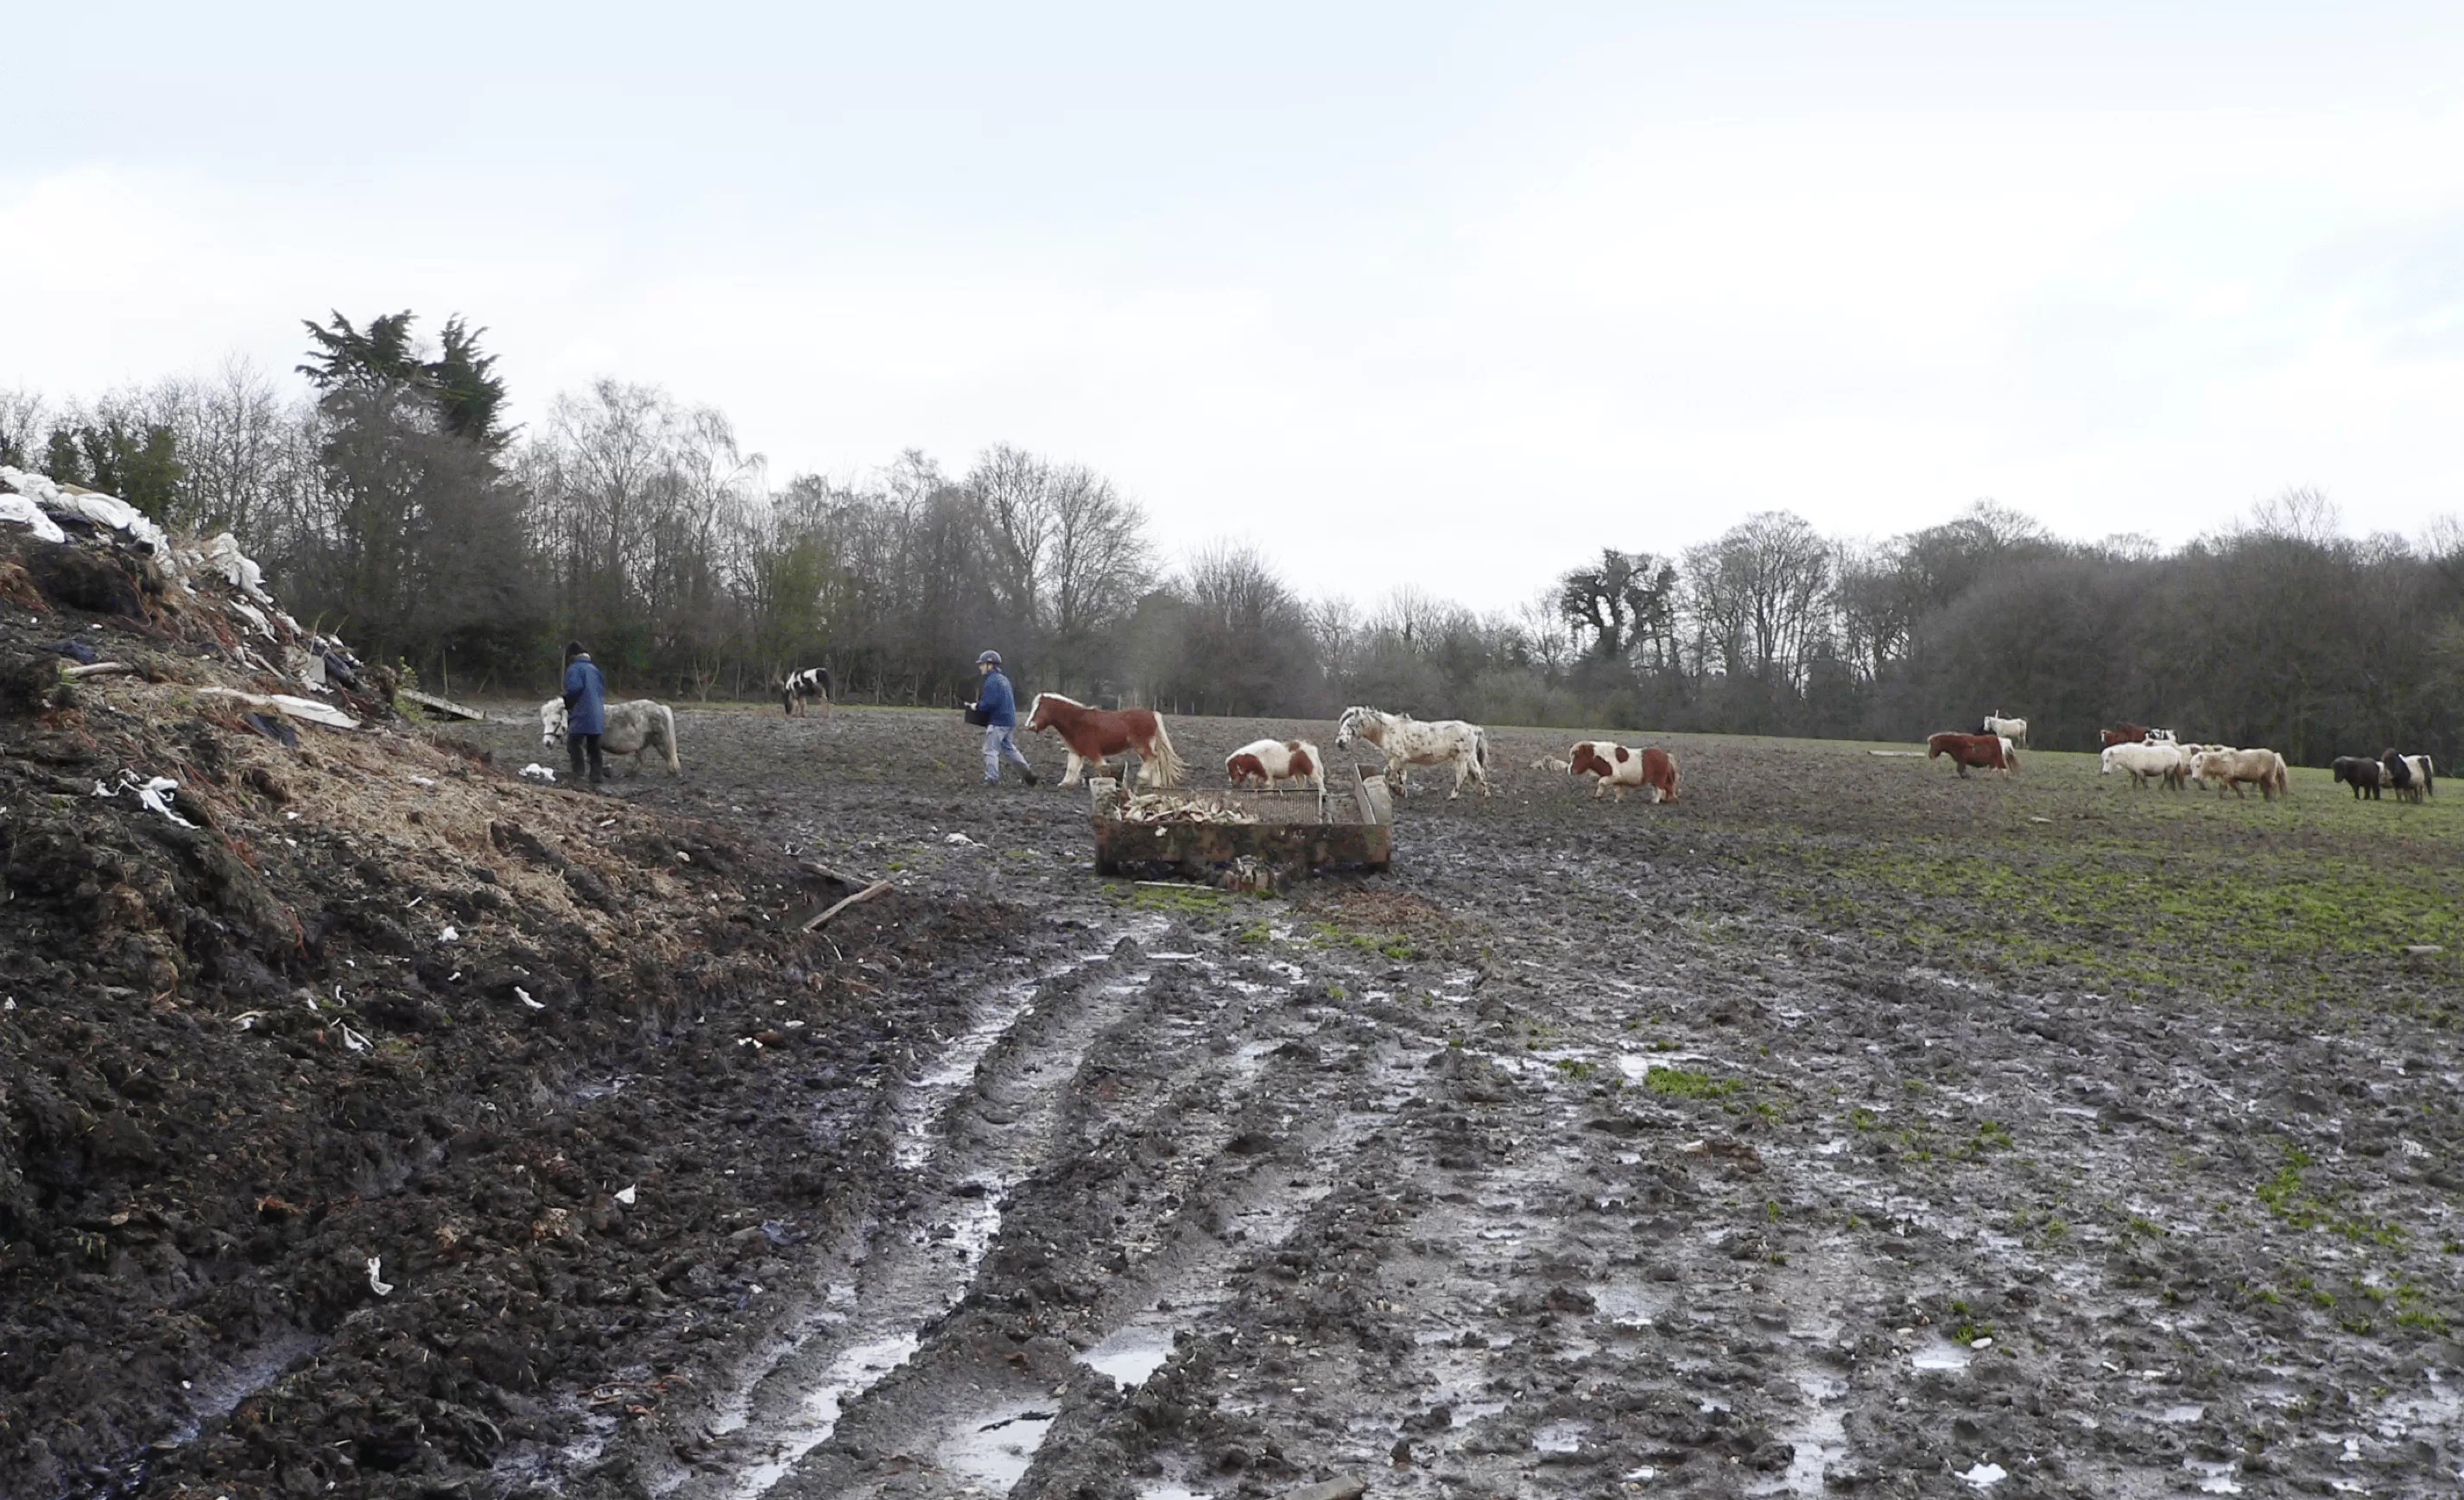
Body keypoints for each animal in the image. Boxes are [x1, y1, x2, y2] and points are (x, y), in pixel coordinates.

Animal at [542, 699, 685, 778]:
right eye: (545, 722)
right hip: (642, 745)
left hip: (661, 742)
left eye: (554, 722)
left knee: (669, 758)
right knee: (640, 760)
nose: (546, 743)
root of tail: (660, 708)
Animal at [1024, 689, 1188, 783]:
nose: (1029, 725)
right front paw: (1065, 784)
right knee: (1154, 764)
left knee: (1152, 758)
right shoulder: (1076, 752)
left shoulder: (1093, 751)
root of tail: (1152, 714)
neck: (1077, 721)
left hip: (1142, 746)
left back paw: (1142, 777)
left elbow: (1102, 768)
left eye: (1039, 709)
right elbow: (1071, 769)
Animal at [1340, 709, 1488, 802]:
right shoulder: (1401, 761)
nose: (1340, 742)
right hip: (1470, 758)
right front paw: (1401, 792)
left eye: (1351, 724)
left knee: (1461, 775)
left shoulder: (1397, 757)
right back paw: (1485, 794)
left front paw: (1392, 788)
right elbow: (1402, 776)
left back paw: (1452, 796)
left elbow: (1387, 772)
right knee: (1480, 773)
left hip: (1461, 758)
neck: (1387, 730)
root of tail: (1474, 729)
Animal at [1567, 738, 1685, 802]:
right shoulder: (1616, 780)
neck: (1604, 757)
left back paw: (1655, 801)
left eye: (1578, 756)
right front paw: (1616, 800)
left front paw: (1598, 795)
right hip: (1656, 780)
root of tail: (1666, 755)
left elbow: (1601, 782)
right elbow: (1617, 790)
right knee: (1666, 789)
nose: (1570, 770)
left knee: (1660, 790)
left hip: (1659, 779)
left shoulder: (1614, 776)